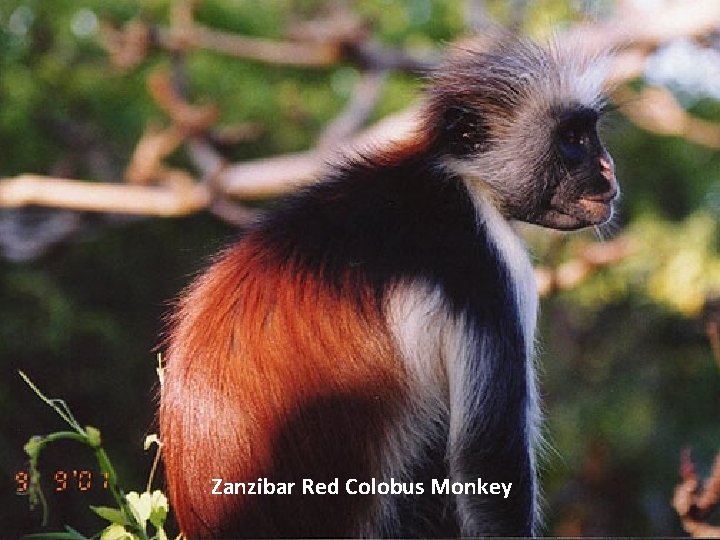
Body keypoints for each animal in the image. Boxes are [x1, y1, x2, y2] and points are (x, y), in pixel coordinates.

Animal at [159, 33, 620, 540]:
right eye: (573, 139)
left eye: (589, 133)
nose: (608, 169)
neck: (456, 177)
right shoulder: (486, 264)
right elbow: (488, 470)